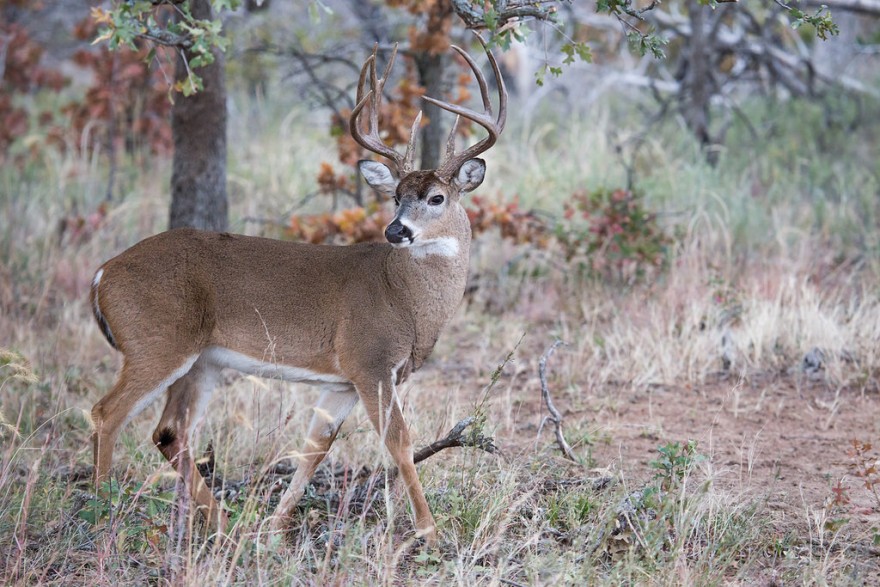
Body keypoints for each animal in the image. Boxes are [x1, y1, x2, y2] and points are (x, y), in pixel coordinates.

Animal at [88, 35, 506, 545]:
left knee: (169, 432)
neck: (404, 300)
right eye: (395, 196)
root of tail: (103, 274)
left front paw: (273, 527)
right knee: (107, 413)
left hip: (202, 360)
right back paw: (103, 517)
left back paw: (225, 525)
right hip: (156, 342)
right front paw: (430, 531)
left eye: (436, 197)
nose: (395, 231)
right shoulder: (369, 360)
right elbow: (401, 444)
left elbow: (314, 449)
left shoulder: (343, 381)